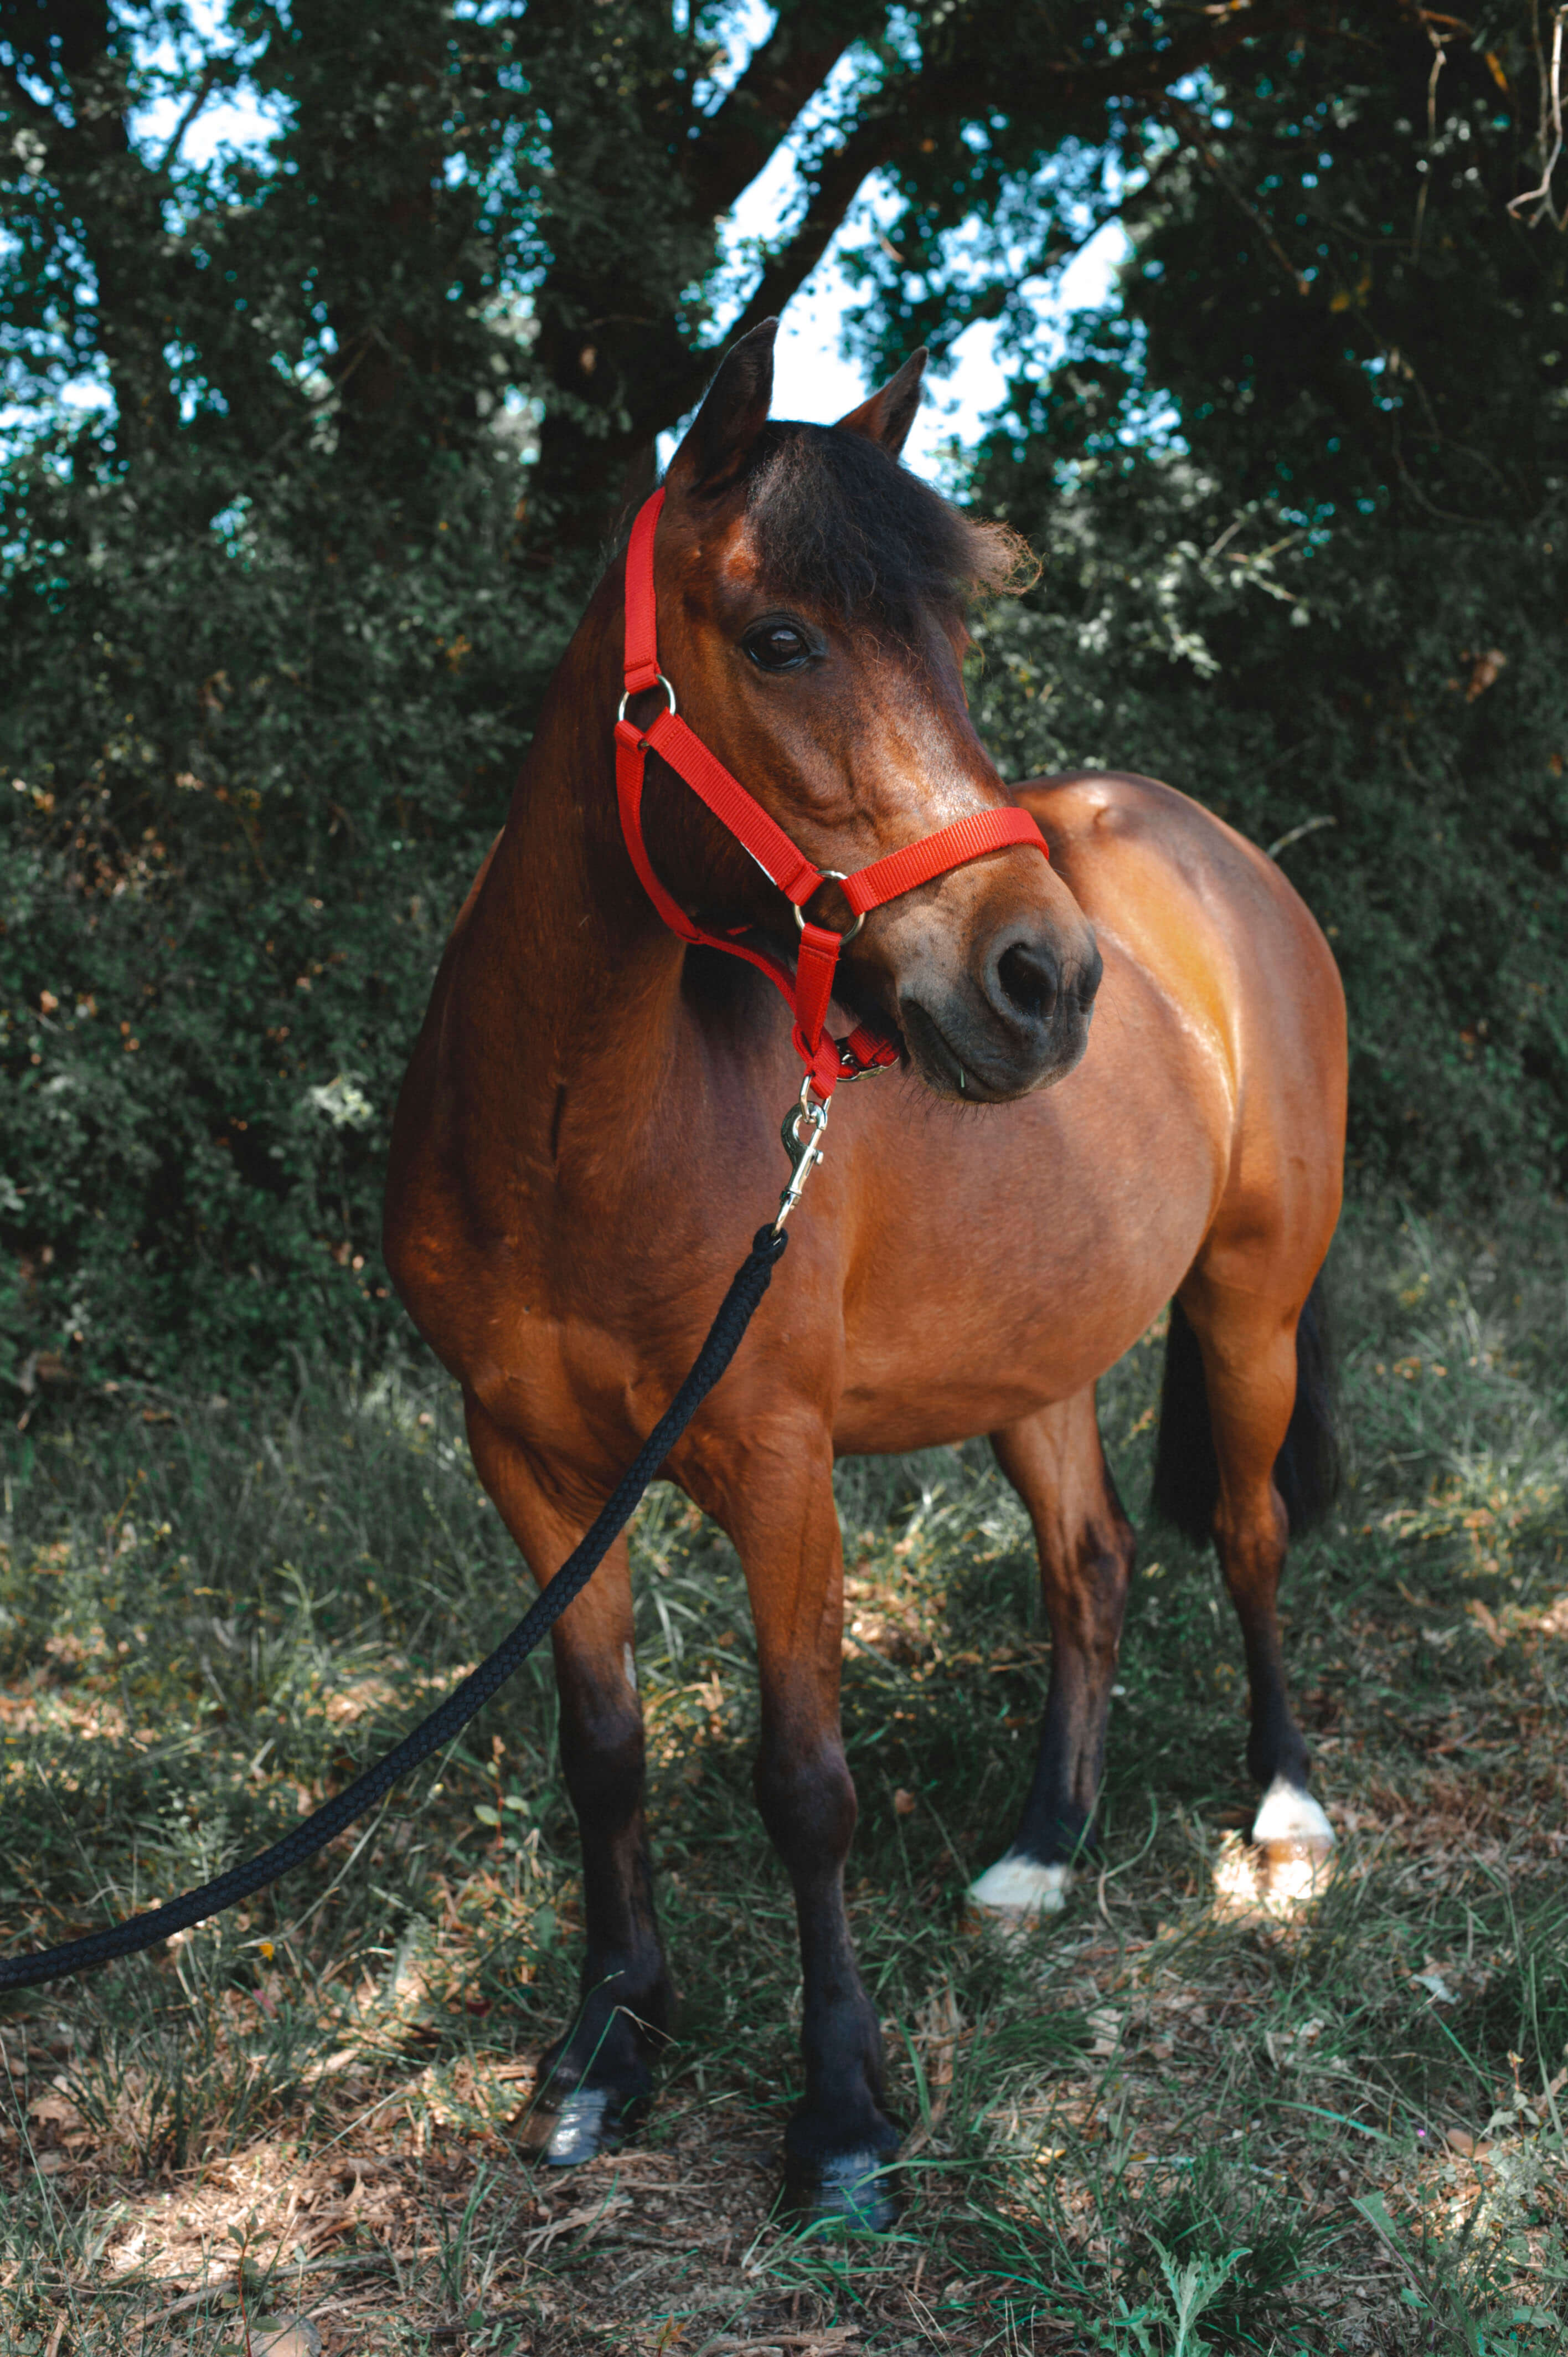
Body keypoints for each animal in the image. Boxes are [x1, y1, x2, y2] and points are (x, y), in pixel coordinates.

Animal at [381, 318, 1348, 2225]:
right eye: (780, 638)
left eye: (952, 645)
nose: (1044, 978)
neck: (571, 1129)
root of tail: (1222, 857)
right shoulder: (525, 1462)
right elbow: (602, 1748)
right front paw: (606, 2045)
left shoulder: (776, 1465)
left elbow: (804, 1782)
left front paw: (839, 2117)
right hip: (1035, 1351)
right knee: (1090, 1563)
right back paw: (1042, 1853)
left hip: (1249, 1303)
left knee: (1248, 1534)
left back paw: (1277, 1815)